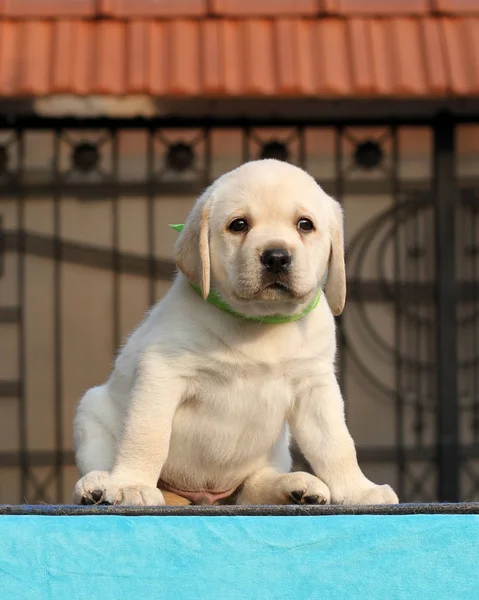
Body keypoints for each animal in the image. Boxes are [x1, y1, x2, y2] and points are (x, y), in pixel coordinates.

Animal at [73, 158, 400, 506]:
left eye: (305, 225)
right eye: (239, 225)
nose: (276, 256)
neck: (261, 322)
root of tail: (203, 498)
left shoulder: (315, 386)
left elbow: (337, 444)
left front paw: (358, 490)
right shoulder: (161, 374)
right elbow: (147, 435)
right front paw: (133, 484)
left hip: (274, 452)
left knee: (253, 488)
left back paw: (295, 487)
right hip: (91, 412)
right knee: (101, 457)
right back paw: (98, 484)